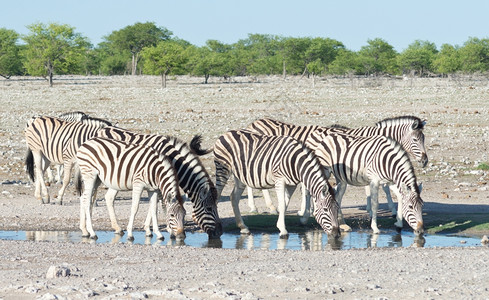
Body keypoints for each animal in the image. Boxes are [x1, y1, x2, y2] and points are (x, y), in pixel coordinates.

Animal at [95, 126, 223, 239]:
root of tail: (103, 129)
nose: (220, 233)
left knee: (109, 197)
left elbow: (154, 204)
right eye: (209, 209)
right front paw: (168, 229)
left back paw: (117, 228)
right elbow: (161, 204)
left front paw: (148, 228)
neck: (174, 160)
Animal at [191, 129, 340, 239]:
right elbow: (282, 204)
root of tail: (223, 135)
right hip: (223, 169)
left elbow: (285, 204)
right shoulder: (279, 179)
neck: (296, 163)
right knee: (217, 194)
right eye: (325, 210)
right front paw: (283, 230)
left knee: (234, 197)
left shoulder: (291, 184)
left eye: (337, 209)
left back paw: (243, 227)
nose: (336, 234)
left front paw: (280, 225)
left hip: (240, 176)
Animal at [246, 117, 426, 220]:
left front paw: (373, 208)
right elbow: (384, 188)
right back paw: (260, 207)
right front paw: (391, 210)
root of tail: (254, 123)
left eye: (423, 138)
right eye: (416, 139)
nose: (425, 160)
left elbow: (375, 188)